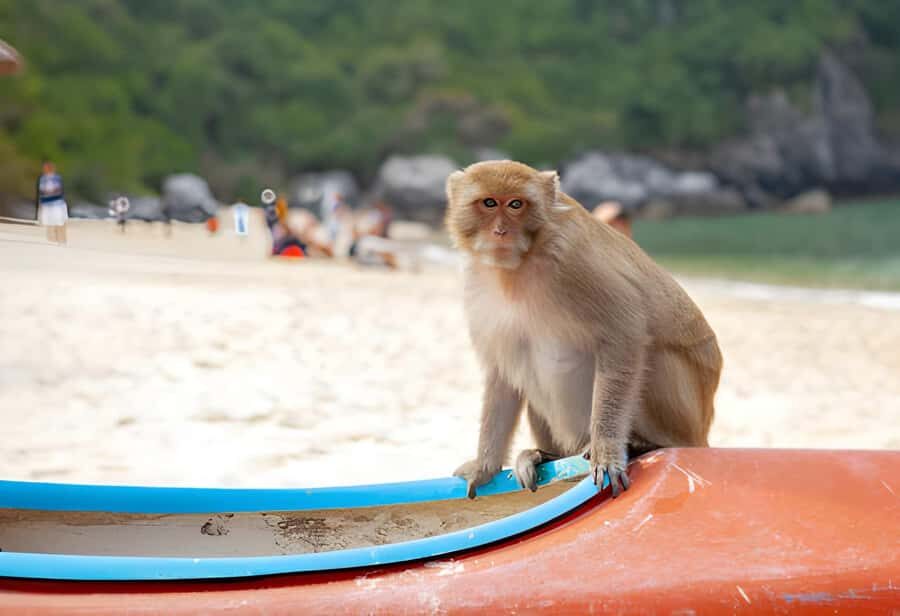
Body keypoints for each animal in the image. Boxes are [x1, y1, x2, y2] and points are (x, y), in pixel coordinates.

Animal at [446, 160, 722, 498]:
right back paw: (545, 455)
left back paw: (643, 443)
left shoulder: (574, 265)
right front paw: (484, 466)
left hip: (684, 419)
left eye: (515, 204)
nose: (501, 231)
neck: (518, 268)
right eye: (488, 203)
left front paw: (606, 452)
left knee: (651, 354)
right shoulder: (479, 291)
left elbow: (625, 332)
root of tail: (701, 433)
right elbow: (503, 374)